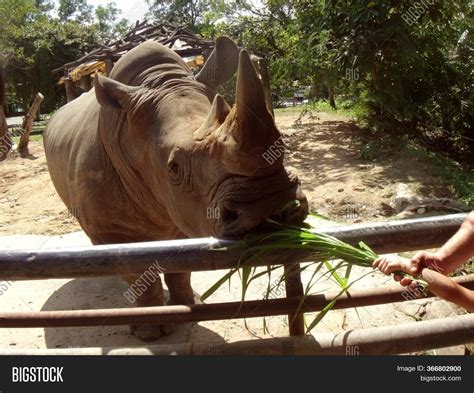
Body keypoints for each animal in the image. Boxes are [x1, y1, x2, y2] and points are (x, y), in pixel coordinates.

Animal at [44, 36, 308, 340]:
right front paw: (149, 332)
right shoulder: (111, 229)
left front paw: (189, 308)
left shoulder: (186, 212)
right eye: (173, 167)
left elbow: (180, 266)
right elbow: (137, 271)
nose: (272, 205)